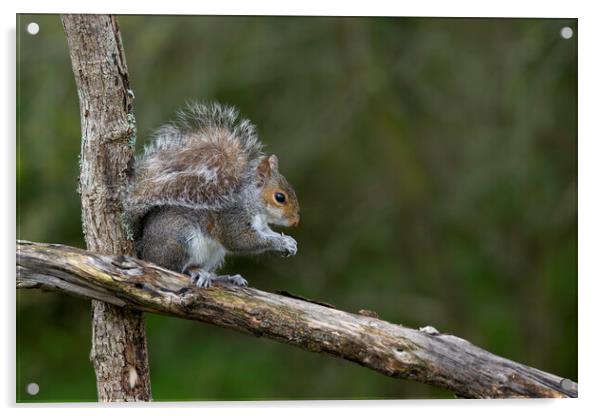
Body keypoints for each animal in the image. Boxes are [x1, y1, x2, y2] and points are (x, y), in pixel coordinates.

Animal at [125, 102, 298, 288]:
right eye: (280, 197)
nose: (296, 222)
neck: (252, 203)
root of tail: (143, 250)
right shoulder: (232, 218)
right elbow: (242, 241)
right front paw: (281, 242)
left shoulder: (261, 225)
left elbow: (267, 232)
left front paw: (290, 242)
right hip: (181, 241)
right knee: (172, 268)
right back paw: (198, 272)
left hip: (213, 254)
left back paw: (226, 277)